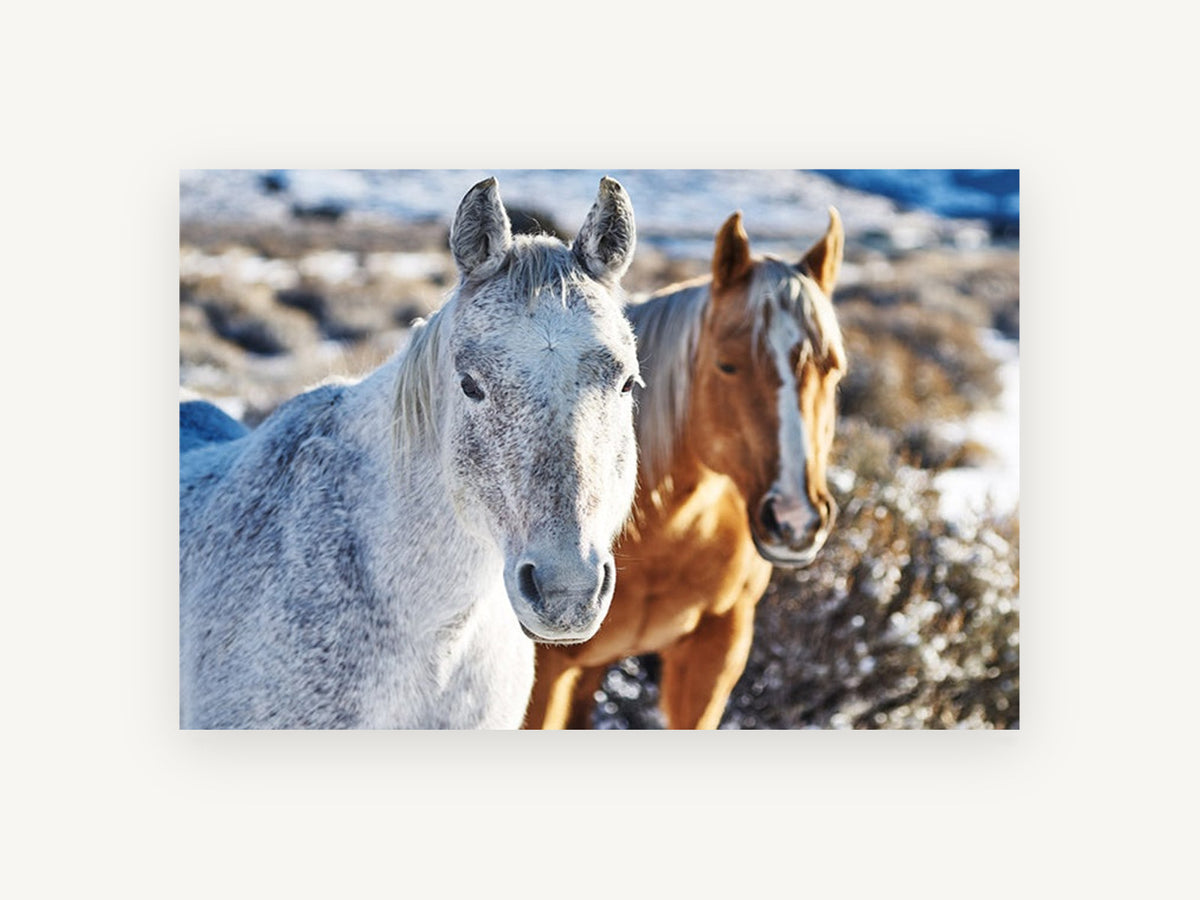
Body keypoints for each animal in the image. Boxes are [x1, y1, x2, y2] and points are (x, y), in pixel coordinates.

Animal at [525, 208, 847, 729]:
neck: (664, 534)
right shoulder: (545, 674)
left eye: (831, 369)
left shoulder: (716, 650)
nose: (795, 522)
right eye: (726, 365)